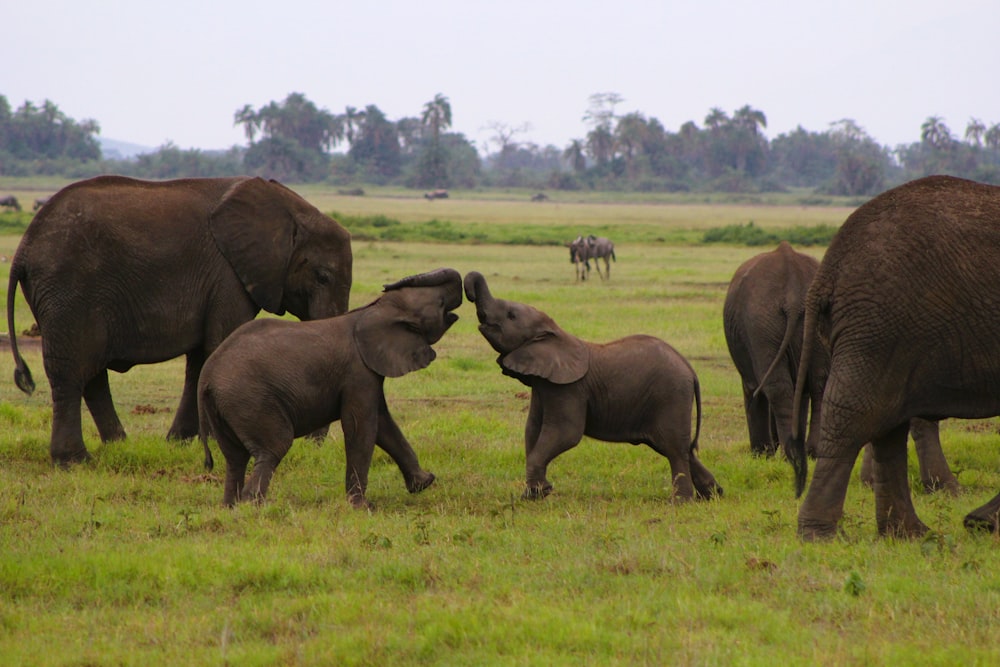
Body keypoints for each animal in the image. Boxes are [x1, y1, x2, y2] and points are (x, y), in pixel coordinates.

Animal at [5, 175, 352, 468]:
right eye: (322, 277)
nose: (311, 446)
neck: (288, 207)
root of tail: (23, 248)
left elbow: (201, 361)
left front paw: (178, 444)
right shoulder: (227, 275)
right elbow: (219, 346)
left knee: (91, 373)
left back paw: (118, 446)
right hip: (68, 291)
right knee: (71, 371)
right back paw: (75, 462)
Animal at [199, 268, 464, 508]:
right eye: (440, 303)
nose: (387, 285)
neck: (373, 310)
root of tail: (207, 376)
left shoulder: (368, 373)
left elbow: (383, 424)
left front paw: (424, 483)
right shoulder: (357, 373)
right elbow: (361, 428)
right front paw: (361, 508)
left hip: (226, 406)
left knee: (235, 458)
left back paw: (231, 508)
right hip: (250, 399)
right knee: (274, 447)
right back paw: (256, 507)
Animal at [464, 272, 724, 500]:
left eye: (511, 315)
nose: (468, 293)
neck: (555, 333)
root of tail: (690, 369)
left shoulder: (568, 389)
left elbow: (565, 433)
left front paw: (539, 494)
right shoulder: (544, 385)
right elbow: (532, 431)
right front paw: (532, 495)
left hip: (670, 395)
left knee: (674, 449)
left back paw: (681, 502)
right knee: (681, 448)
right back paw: (714, 496)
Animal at [788, 175, 1000, 540]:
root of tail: (828, 270)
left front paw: (982, 523)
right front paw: (983, 524)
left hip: (890, 331)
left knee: (888, 425)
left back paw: (909, 534)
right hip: (881, 324)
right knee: (857, 417)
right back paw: (820, 536)